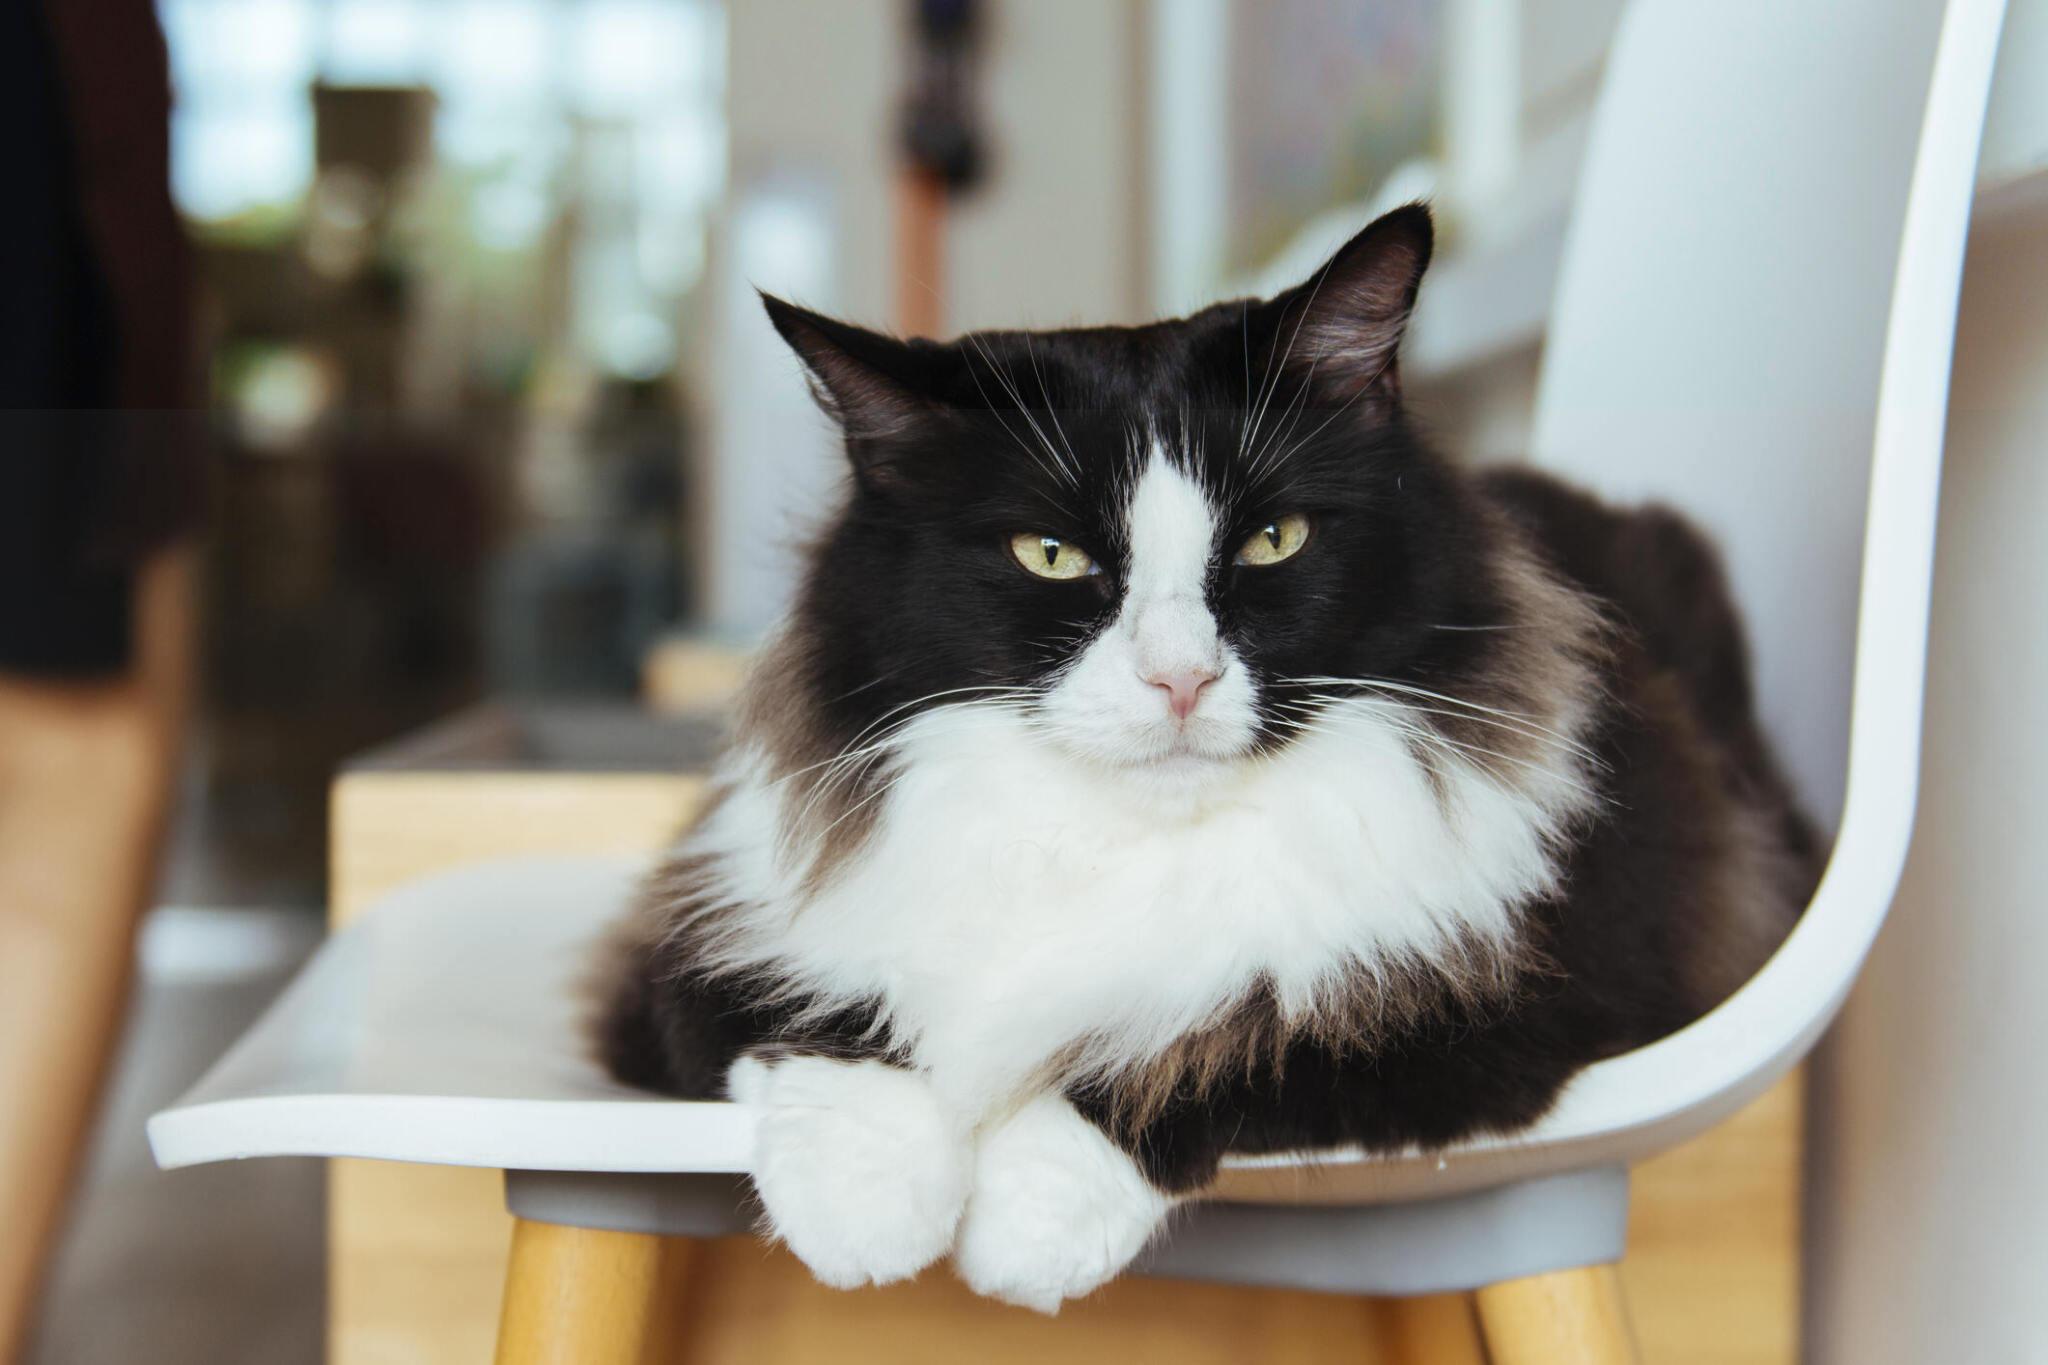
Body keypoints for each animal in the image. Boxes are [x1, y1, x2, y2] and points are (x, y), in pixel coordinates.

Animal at [598, 205, 1826, 1309]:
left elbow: (1207, 1048)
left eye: (1272, 540)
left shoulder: (1508, 997)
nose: (1178, 680)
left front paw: (1020, 1231)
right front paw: (864, 1212)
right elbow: (822, 1024)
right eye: (1050, 555)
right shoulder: (690, 941)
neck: (1115, 842)